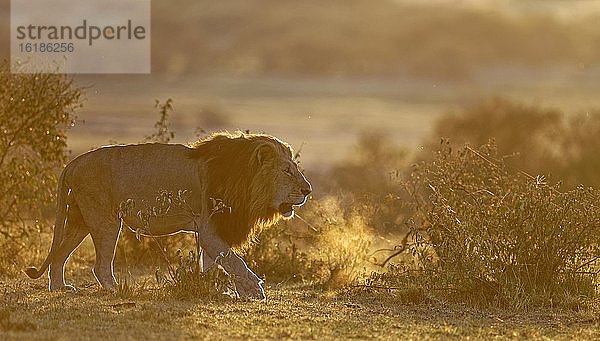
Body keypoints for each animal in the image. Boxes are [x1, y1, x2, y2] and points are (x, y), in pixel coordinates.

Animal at [25, 131, 312, 298]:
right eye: (287, 171)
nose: (308, 190)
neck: (245, 178)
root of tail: (73, 163)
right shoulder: (208, 228)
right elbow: (234, 260)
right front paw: (254, 289)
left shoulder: (211, 231)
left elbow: (213, 263)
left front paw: (216, 289)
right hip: (105, 220)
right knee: (100, 266)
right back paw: (117, 291)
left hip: (80, 221)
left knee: (59, 255)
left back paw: (60, 287)